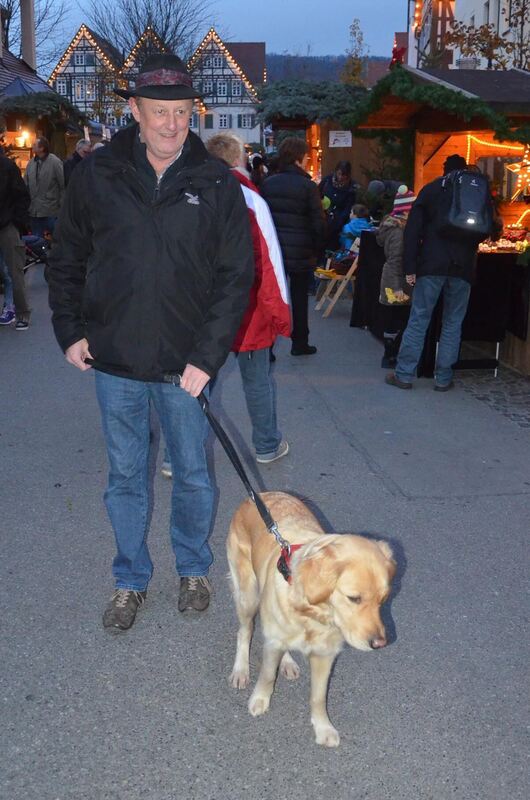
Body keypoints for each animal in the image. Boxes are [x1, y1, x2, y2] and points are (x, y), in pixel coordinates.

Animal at [225, 490, 394, 748]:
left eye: (383, 600)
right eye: (354, 598)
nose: (380, 643)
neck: (313, 615)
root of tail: (257, 495)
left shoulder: (325, 654)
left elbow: (318, 696)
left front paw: (323, 728)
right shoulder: (273, 640)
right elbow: (267, 675)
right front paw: (259, 700)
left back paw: (287, 663)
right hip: (248, 594)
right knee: (244, 631)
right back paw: (241, 670)